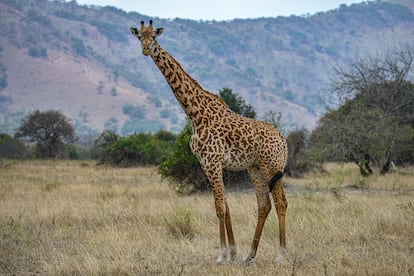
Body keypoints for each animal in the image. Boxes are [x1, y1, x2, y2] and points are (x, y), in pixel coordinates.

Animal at [130, 20, 288, 266]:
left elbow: (219, 207)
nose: (147, 49)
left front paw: (221, 255)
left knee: (281, 203)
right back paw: (249, 255)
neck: (195, 114)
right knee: (264, 204)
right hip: (255, 167)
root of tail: (282, 139)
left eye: (154, 37)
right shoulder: (206, 163)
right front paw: (232, 252)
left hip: (272, 165)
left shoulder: (213, 161)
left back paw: (281, 254)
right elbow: (226, 205)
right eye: (140, 37)